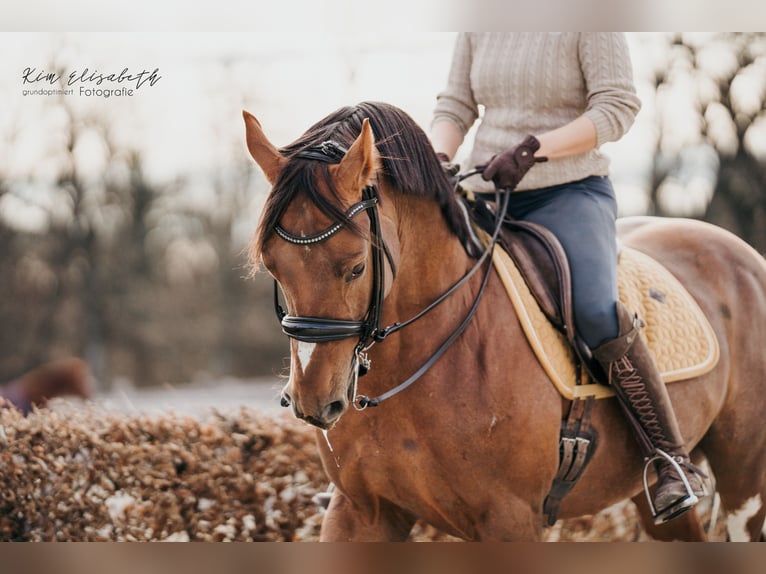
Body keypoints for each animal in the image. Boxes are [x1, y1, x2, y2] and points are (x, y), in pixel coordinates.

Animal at [243, 101, 766, 544]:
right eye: (272, 267)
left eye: (355, 266)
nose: (314, 401)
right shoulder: (360, 511)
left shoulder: (509, 519)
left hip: (745, 490)